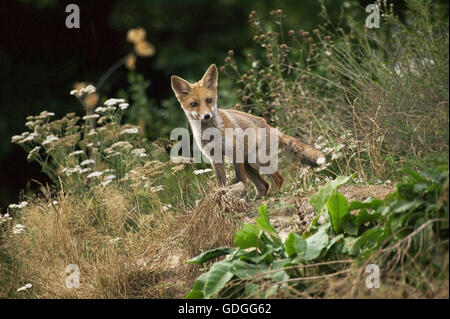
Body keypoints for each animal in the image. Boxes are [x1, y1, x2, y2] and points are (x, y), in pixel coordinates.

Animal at [171, 63, 326, 196]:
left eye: (209, 100)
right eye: (194, 104)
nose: (207, 116)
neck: (212, 134)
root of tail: (272, 128)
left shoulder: (235, 154)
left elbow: (241, 180)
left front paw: (241, 197)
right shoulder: (215, 158)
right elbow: (222, 183)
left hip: (256, 160)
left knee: (278, 179)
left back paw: (271, 195)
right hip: (248, 164)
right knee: (264, 185)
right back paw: (260, 198)